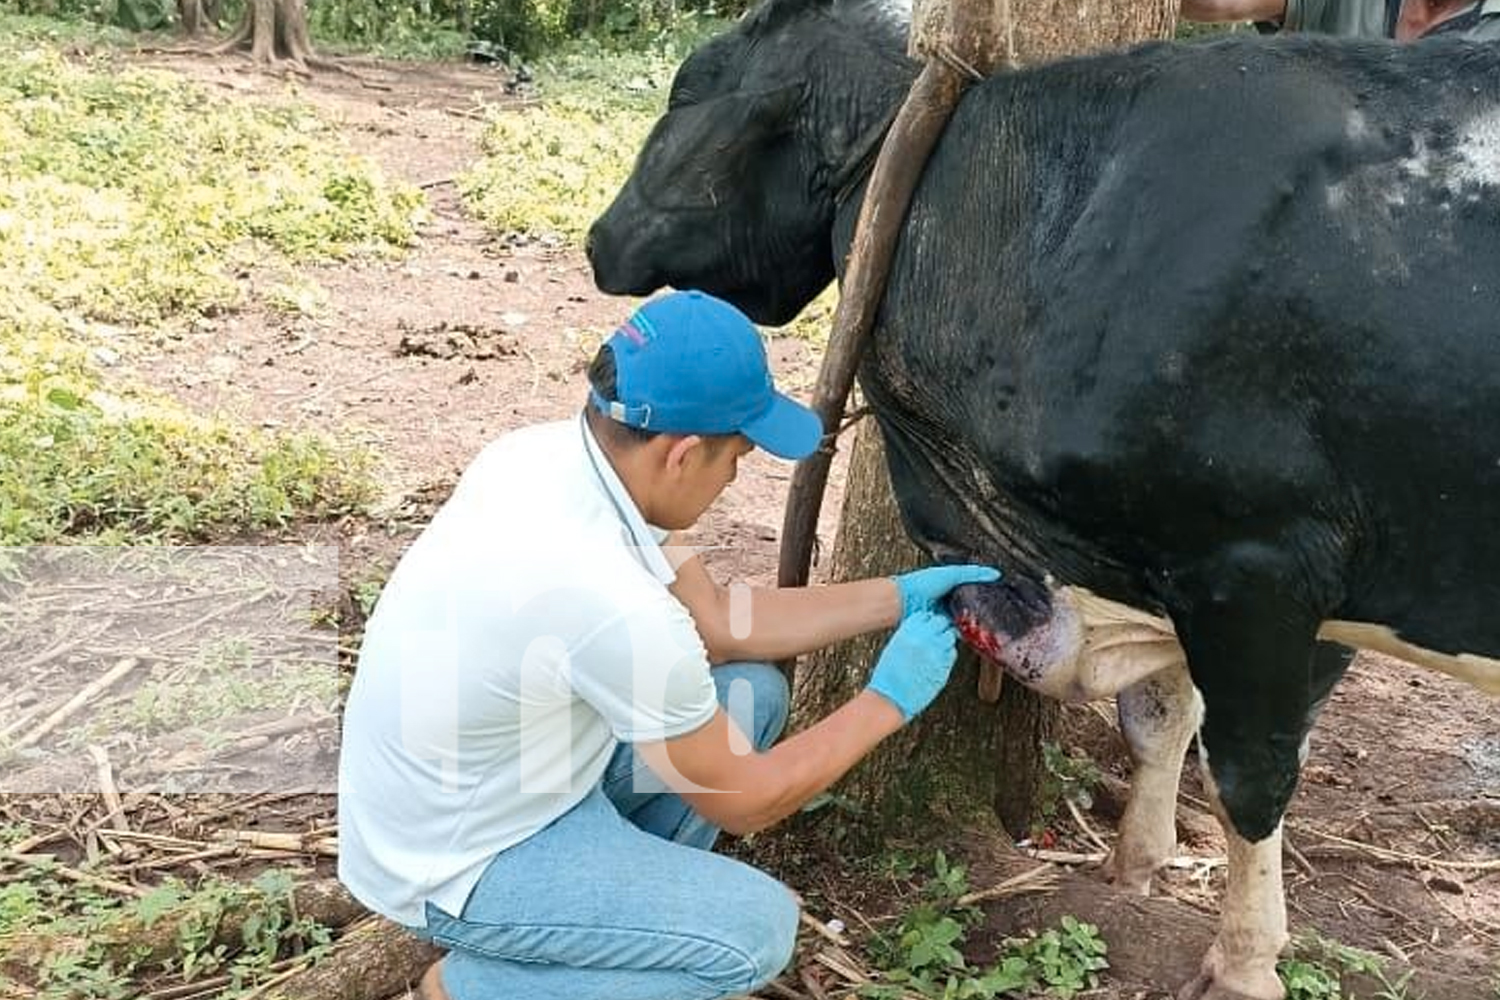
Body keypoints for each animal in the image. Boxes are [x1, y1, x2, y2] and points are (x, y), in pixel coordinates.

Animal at [585, 3, 1500, 995]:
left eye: (685, 89)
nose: (597, 239)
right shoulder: (1176, 564)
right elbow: (1160, 719)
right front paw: (1136, 865)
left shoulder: (1257, 559)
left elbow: (1252, 776)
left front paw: (1245, 962)